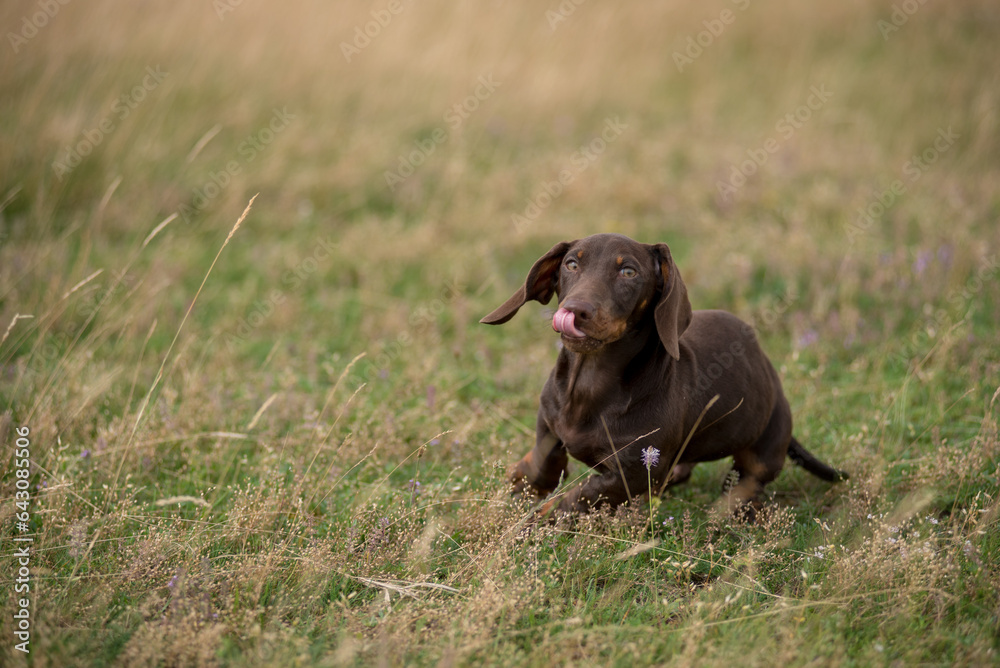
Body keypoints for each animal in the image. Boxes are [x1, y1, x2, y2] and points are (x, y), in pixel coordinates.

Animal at [480, 234, 848, 516]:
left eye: (628, 271)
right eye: (571, 264)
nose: (575, 311)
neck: (589, 383)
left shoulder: (630, 474)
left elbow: (571, 499)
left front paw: (528, 523)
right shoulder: (548, 425)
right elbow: (541, 462)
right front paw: (519, 486)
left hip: (763, 448)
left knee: (748, 481)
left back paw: (723, 513)